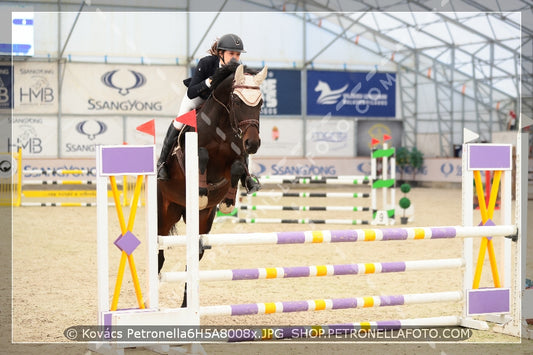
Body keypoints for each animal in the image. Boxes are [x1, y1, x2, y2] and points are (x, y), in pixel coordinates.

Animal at [157, 62, 266, 306]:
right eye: (237, 101)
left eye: (261, 103)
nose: (253, 144)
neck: (222, 127)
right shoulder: (192, 154)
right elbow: (203, 156)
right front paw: (200, 191)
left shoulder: (236, 157)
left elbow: (238, 167)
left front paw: (227, 200)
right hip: (164, 212)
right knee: (158, 253)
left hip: (203, 220)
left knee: (193, 257)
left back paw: (186, 304)